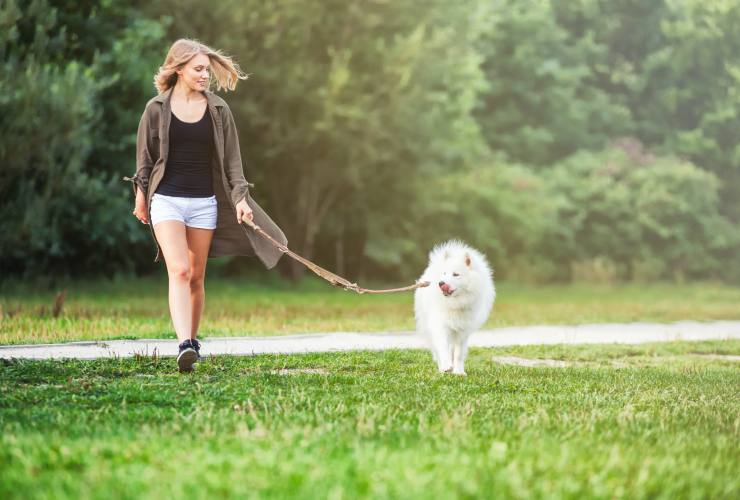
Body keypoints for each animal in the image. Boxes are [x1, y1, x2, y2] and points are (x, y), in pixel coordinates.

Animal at [414, 239, 494, 376]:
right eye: (444, 273)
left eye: (456, 274)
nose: (441, 283)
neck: (455, 303)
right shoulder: (441, 326)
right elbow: (443, 348)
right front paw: (446, 366)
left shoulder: (463, 332)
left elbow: (458, 354)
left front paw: (459, 372)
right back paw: (442, 368)